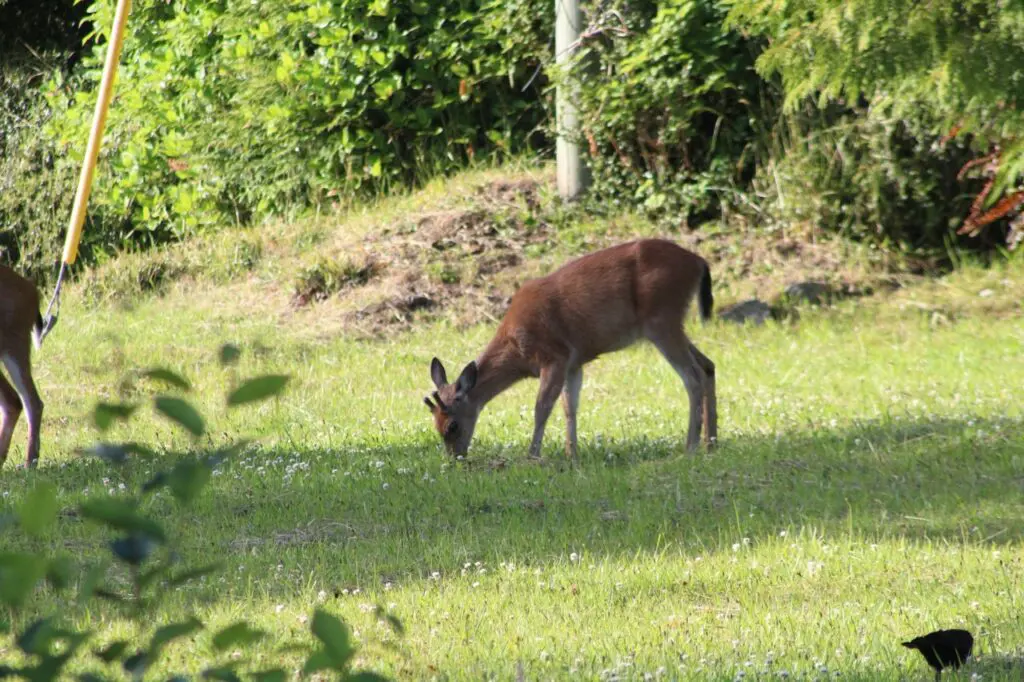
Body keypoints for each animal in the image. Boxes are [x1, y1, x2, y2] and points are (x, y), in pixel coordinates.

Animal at [423, 238, 716, 461]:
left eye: (452, 425)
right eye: (435, 424)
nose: (456, 457)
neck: (517, 351)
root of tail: (699, 262)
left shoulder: (555, 355)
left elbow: (542, 406)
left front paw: (533, 455)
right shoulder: (575, 362)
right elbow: (570, 407)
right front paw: (571, 454)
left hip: (661, 319)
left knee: (692, 376)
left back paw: (690, 447)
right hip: (670, 322)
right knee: (707, 365)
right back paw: (710, 442)